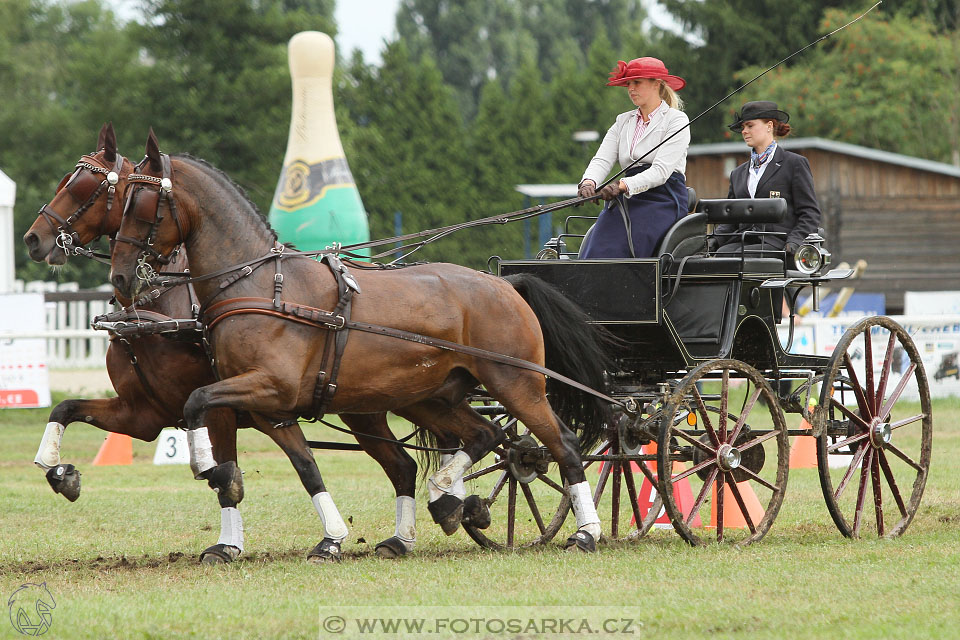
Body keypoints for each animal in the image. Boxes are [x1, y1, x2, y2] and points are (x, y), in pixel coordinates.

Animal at [21, 124, 432, 560]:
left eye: (86, 187)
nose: (33, 239)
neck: (159, 310)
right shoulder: (143, 413)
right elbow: (65, 408)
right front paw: (59, 471)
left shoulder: (226, 405)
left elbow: (232, 471)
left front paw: (232, 534)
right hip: (363, 406)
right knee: (404, 464)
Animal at [109, 130, 612, 552]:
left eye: (141, 202)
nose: (120, 277)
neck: (258, 285)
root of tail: (506, 284)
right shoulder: (264, 401)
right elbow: (281, 451)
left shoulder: (271, 387)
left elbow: (196, 401)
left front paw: (206, 466)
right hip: (433, 395)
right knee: (482, 435)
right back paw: (442, 505)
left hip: (517, 384)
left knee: (562, 446)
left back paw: (585, 533)